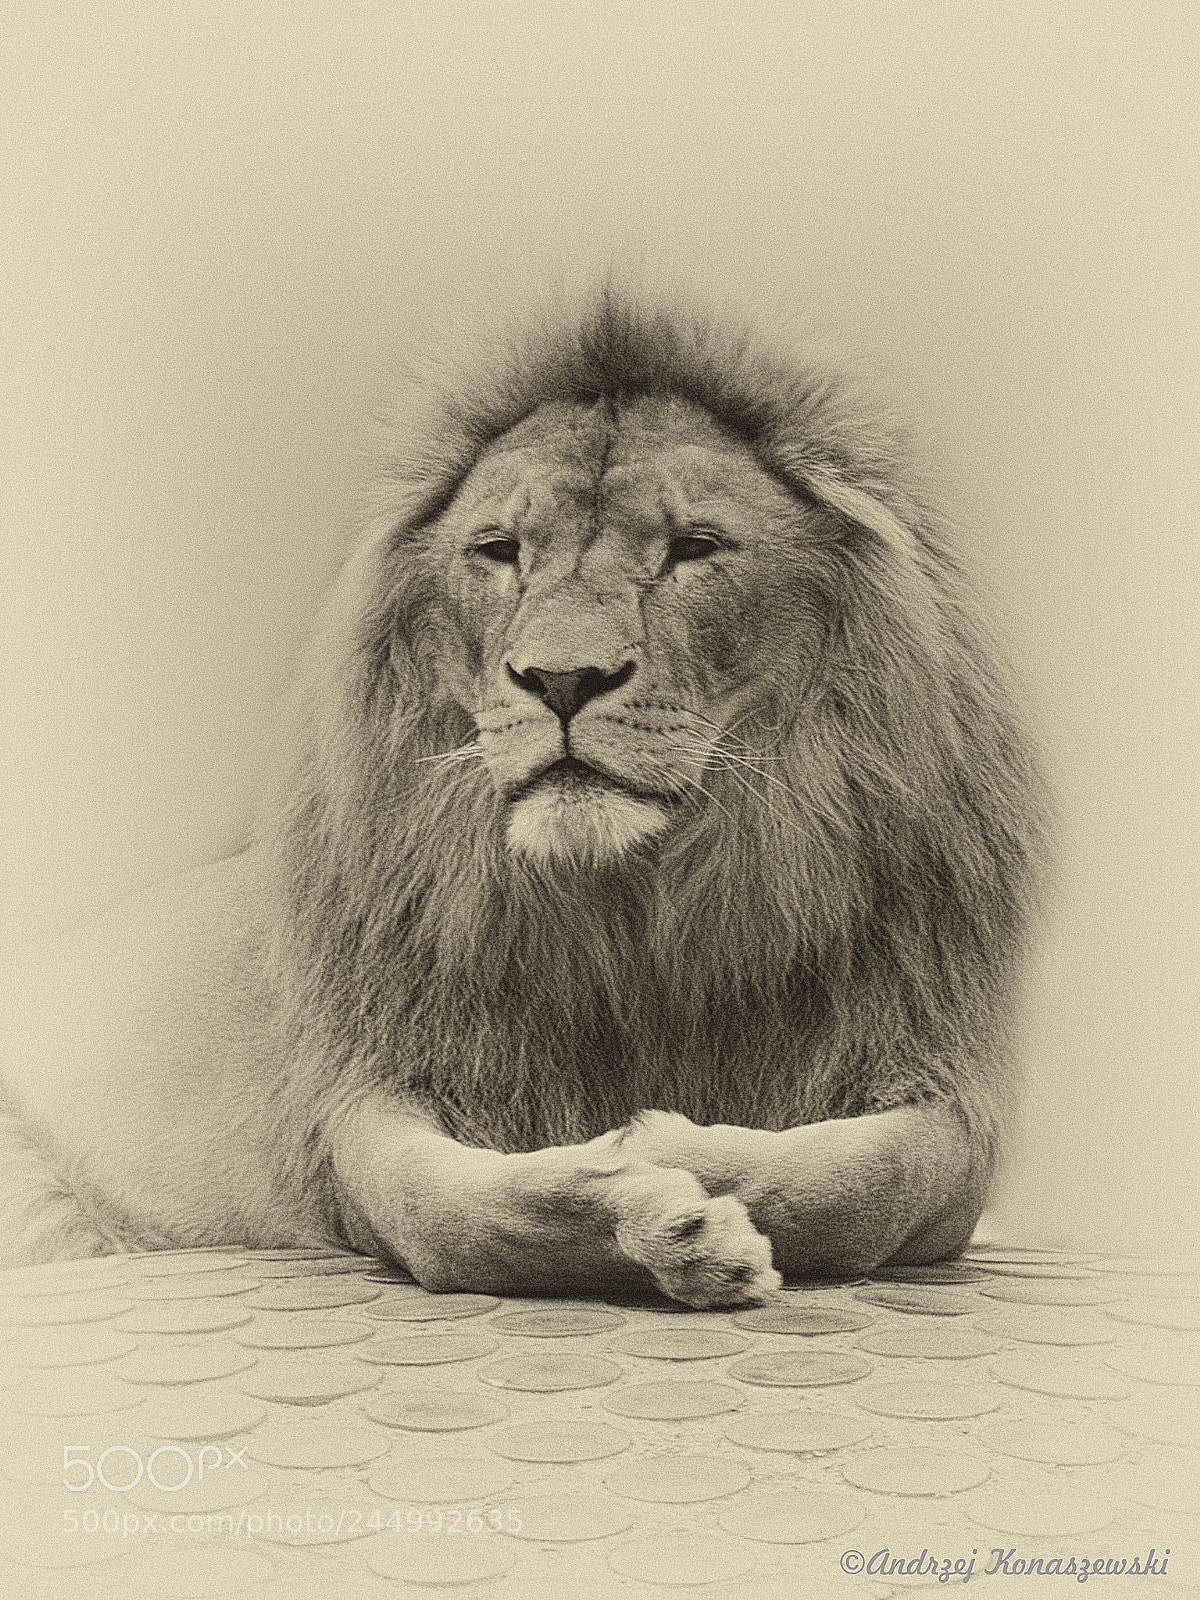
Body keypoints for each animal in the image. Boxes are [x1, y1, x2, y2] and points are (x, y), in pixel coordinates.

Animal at [2, 288, 1047, 1307]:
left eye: (695, 547)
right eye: (500, 550)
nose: (562, 679)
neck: (633, 909)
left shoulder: (934, 1073)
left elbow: (869, 1183)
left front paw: (661, 1146)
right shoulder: (362, 1092)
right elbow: (452, 1219)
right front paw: (652, 1208)